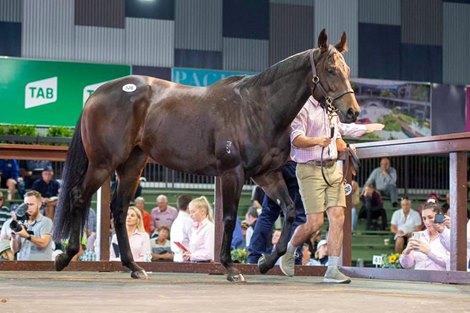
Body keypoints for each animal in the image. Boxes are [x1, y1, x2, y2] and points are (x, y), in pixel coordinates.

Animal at [53, 29, 358, 280]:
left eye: (347, 68)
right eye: (331, 69)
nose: (353, 111)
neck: (257, 108)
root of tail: (97, 93)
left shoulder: (265, 174)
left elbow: (291, 210)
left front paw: (265, 263)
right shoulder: (232, 173)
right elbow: (229, 218)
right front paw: (231, 268)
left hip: (132, 166)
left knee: (118, 209)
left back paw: (134, 267)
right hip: (103, 163)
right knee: (79, 196)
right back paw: (65, 256)